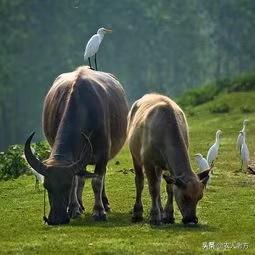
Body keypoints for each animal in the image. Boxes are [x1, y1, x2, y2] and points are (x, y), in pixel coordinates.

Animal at [24, 65, 128, 225]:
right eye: (46, 186)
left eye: (65, 186)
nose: (57, 219)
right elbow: (77, 180)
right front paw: (74, 208)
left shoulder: (103, 154)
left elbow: (97, 181)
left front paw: (99, 211)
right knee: (81, 178)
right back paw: (80, 205)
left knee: (99, 177)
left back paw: (104, 203)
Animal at [127, 93, 209, 225]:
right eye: (185, 197)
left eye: (200, 196)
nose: (192, 219)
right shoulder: (148, 162)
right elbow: (153, 188)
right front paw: (155, 216)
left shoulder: (169, 167)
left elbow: (169, 187)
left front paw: (169, 215)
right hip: (135, 156)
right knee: (140, 181)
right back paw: (137, 212)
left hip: (160, 166)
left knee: (158, 181)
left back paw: (161, 210)